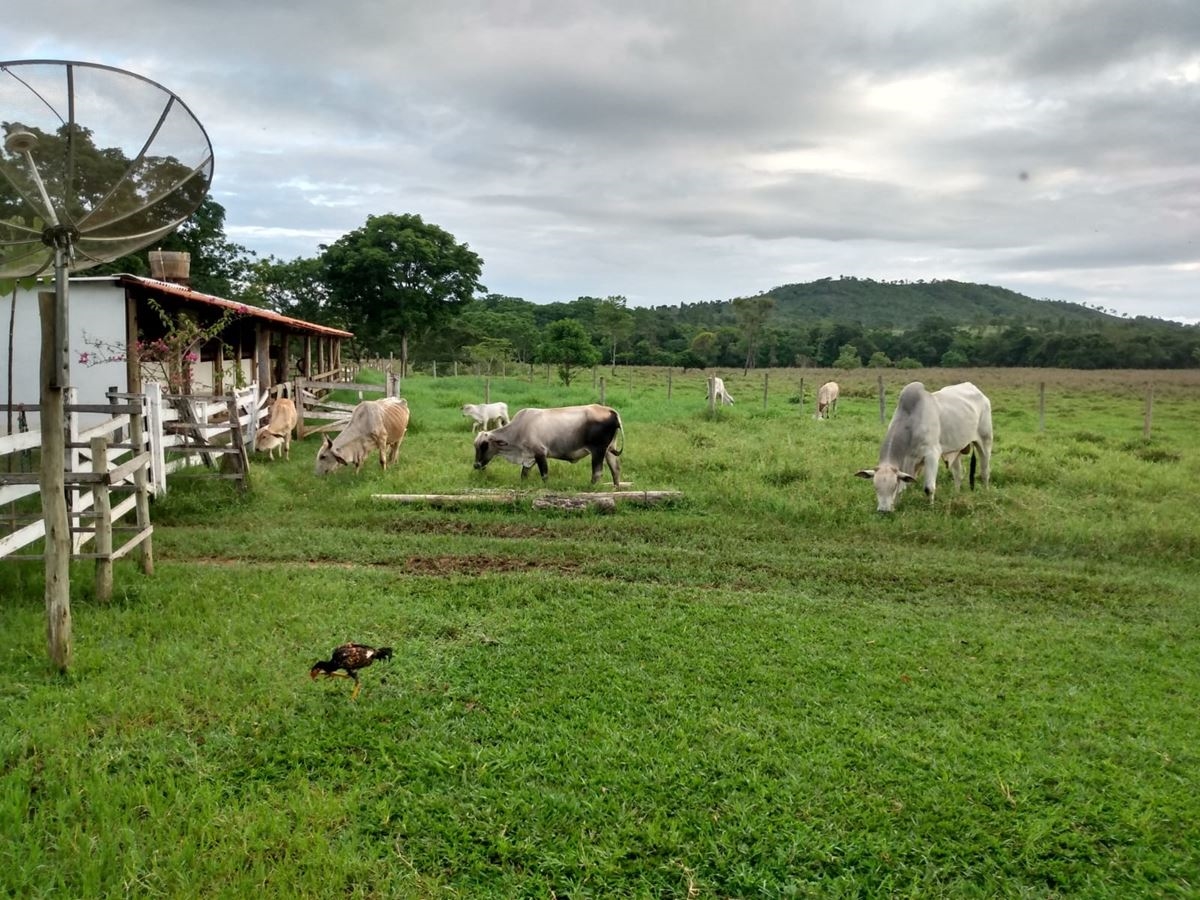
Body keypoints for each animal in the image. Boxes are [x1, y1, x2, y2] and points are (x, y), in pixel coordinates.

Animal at [854, 381, 993, 513]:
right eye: (875, 487)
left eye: (892, 486)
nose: (883, 511)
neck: (911, 421)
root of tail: (979, 393)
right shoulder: (907, 462)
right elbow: (902, 487)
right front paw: (896, 505)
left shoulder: (931, 455)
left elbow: (929, 488)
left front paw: (930, 508)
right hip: (956, 450)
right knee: (958, 474)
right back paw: (956, 494)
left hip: (985, 442)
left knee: (985, 472)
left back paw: (986, 493)